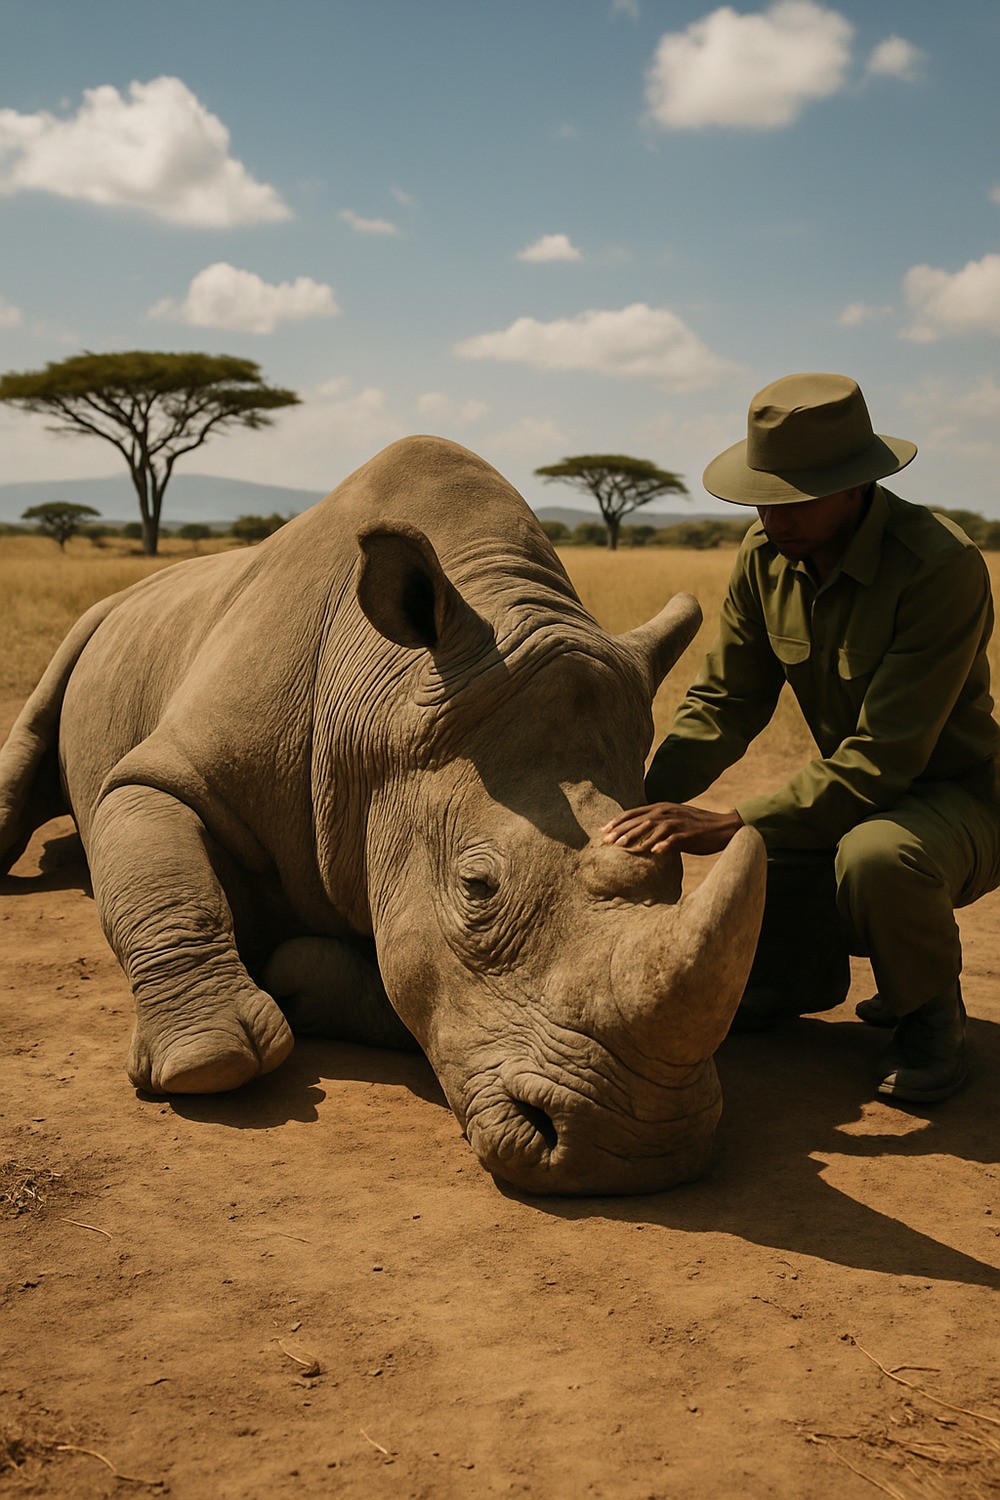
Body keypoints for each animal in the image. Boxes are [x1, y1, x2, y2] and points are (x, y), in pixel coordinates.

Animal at [0, 437, 765, 1195]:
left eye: (675, 876)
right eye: (477, 888)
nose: (636, 1152)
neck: (382, 705)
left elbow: (406, 985)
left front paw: (298, 976)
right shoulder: (173, 770)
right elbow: (161, 857)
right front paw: (207, 1059)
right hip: (96, 619)